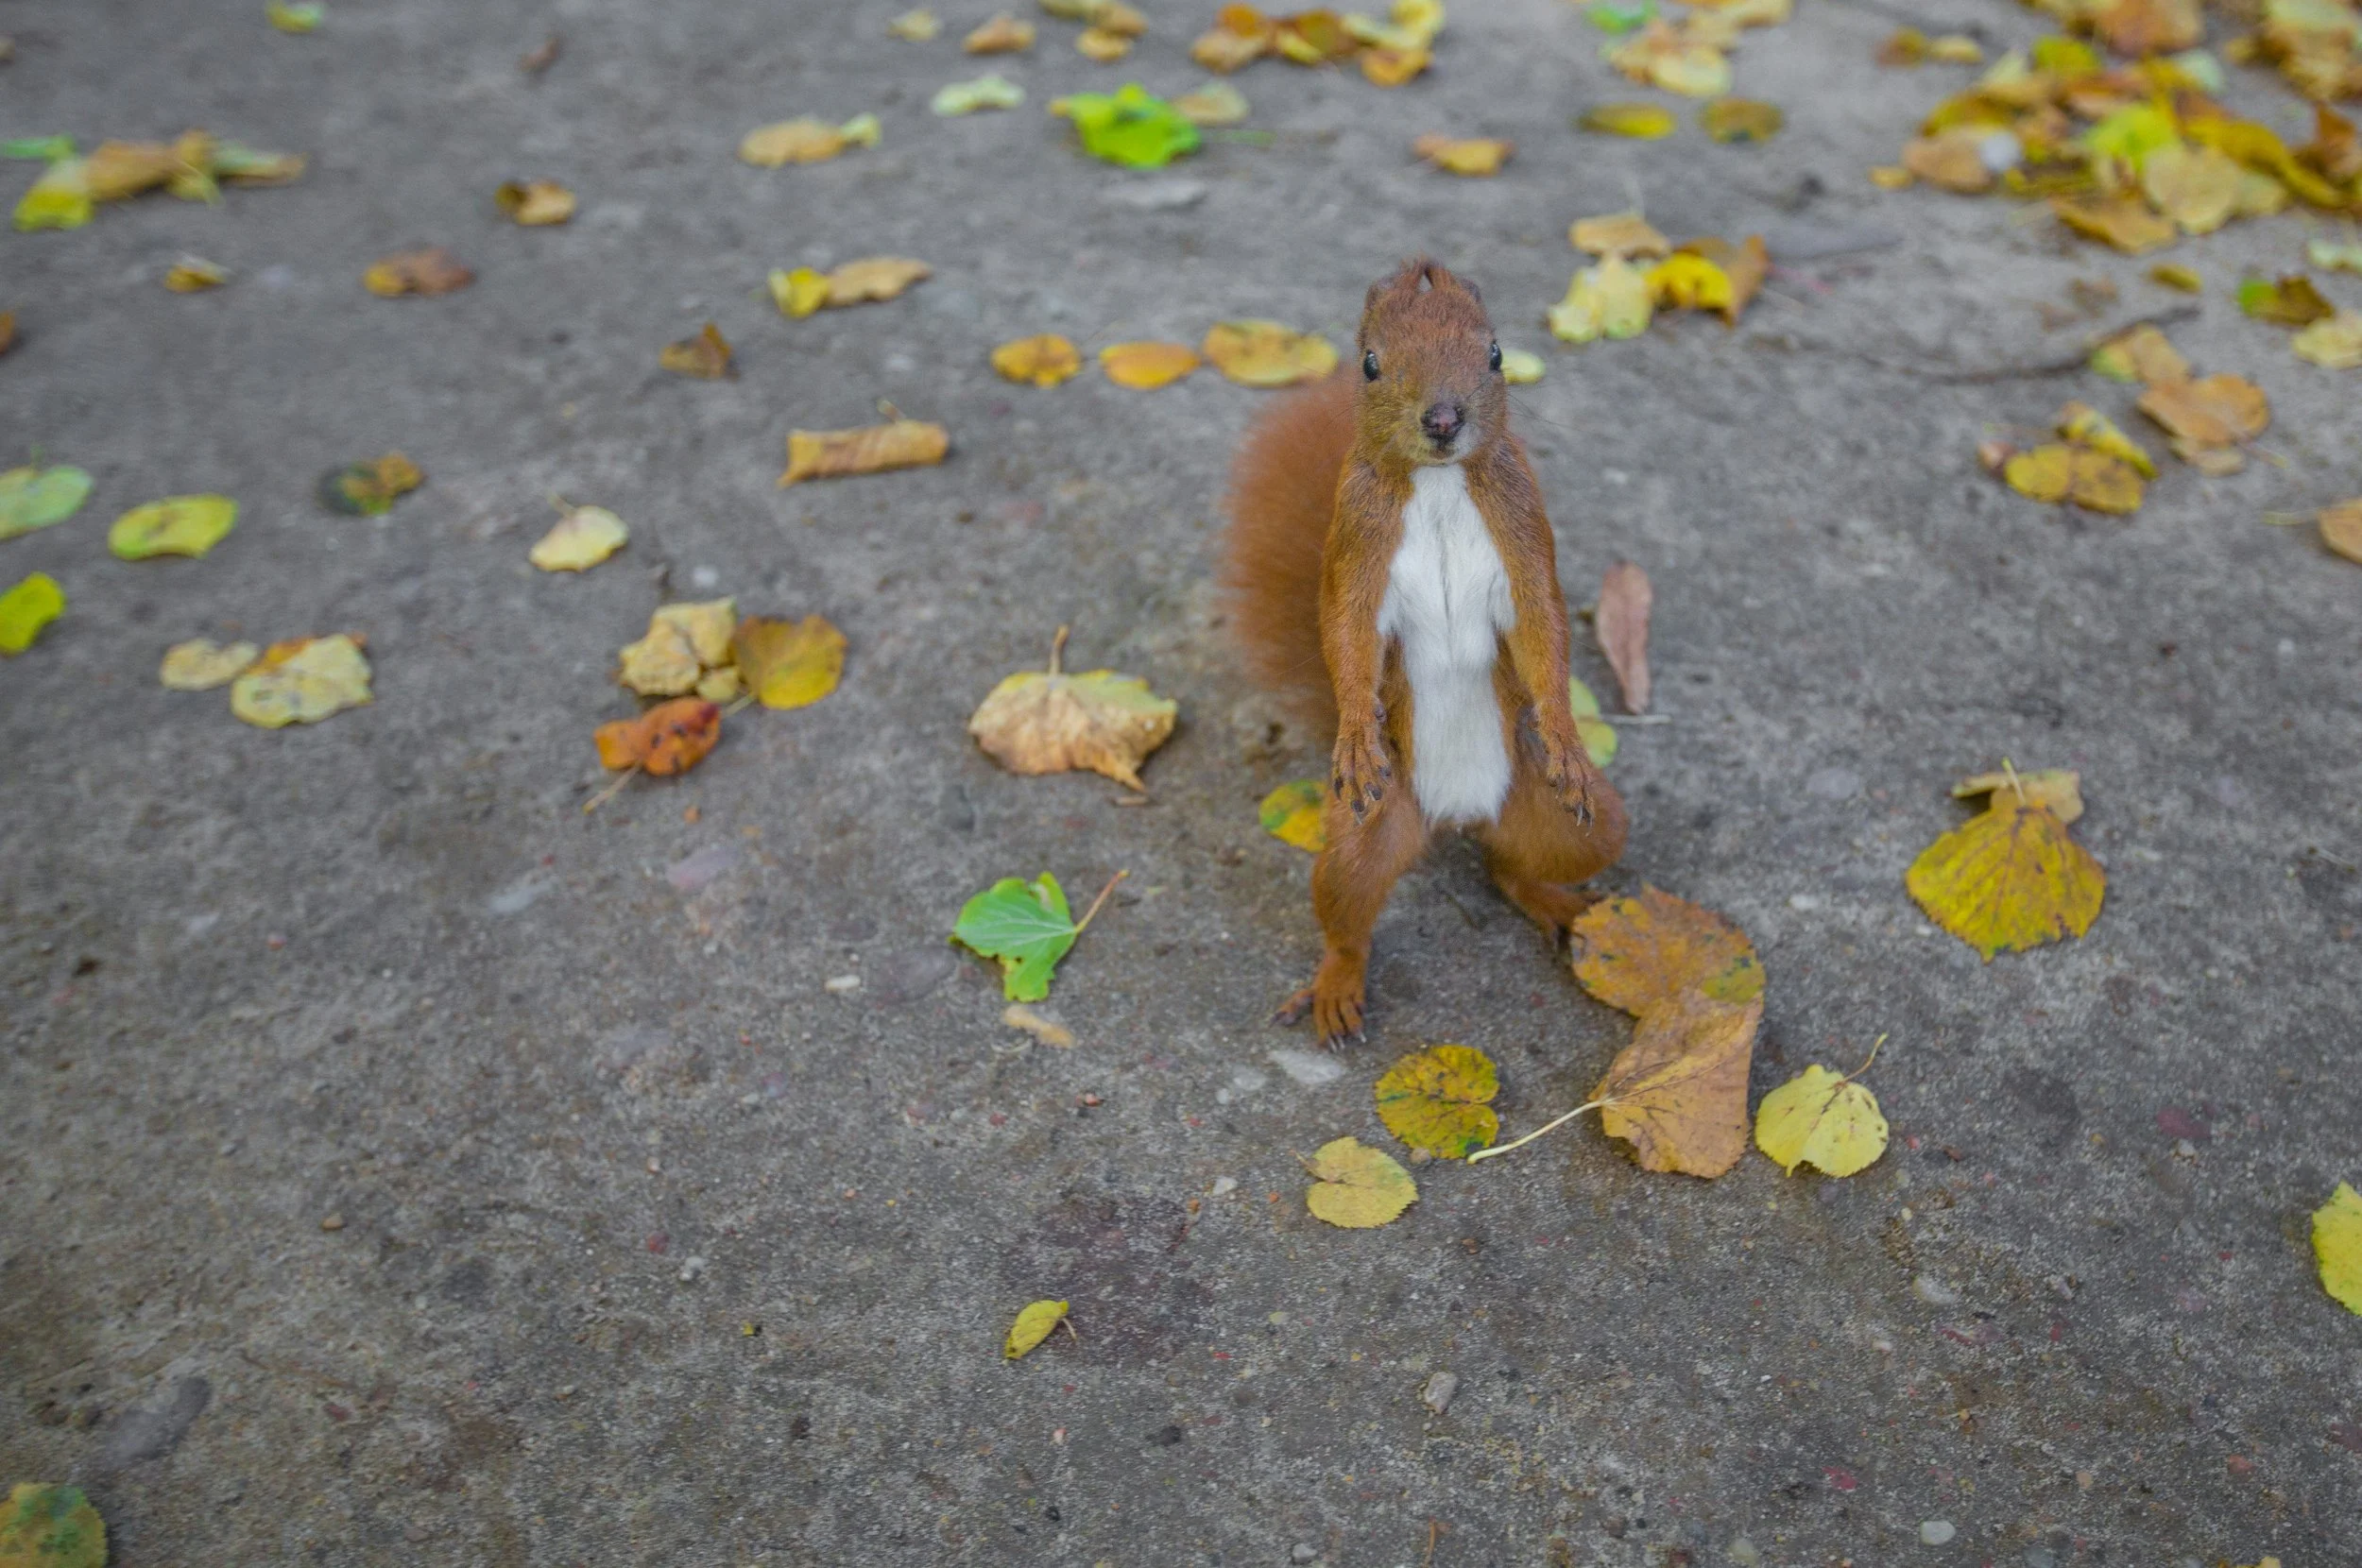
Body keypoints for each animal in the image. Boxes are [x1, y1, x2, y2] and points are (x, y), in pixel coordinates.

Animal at [1219, 257, 1629, 1045]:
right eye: (1370, 363)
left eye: (1496, 354)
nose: (1443, 419)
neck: (1438, 484)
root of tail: (1458, 814)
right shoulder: (1356, 542)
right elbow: (1346, 635)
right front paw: (1356, 729)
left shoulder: (1522, 528)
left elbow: (1543, 628)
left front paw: (1564, 732)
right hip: (1365, 834)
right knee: (1348, 913)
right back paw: (1336, 985)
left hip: (1575, 822)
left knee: (1513, 866)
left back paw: (1557, 903)